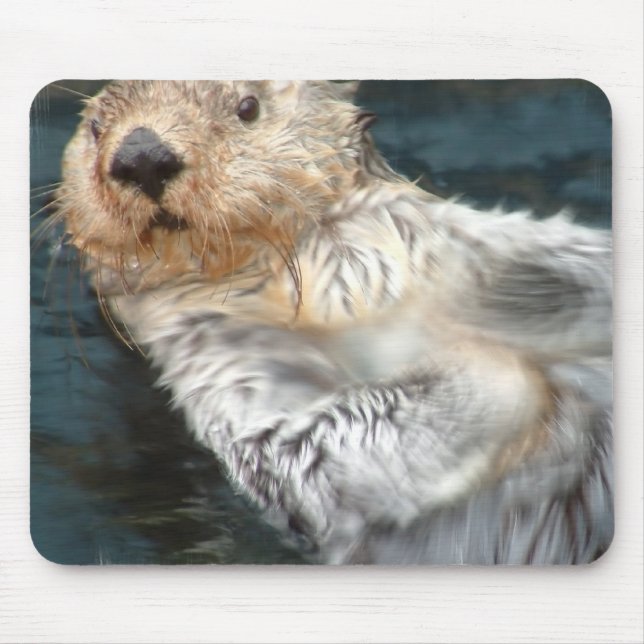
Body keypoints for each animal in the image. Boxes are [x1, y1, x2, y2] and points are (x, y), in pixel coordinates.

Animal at [55, 80, 612, 564]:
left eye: (247, 107)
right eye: (97, 128)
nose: (143, 155)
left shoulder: (436, 233)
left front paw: (510, 292)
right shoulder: (216, 358)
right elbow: (307, 452)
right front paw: (493, 362)